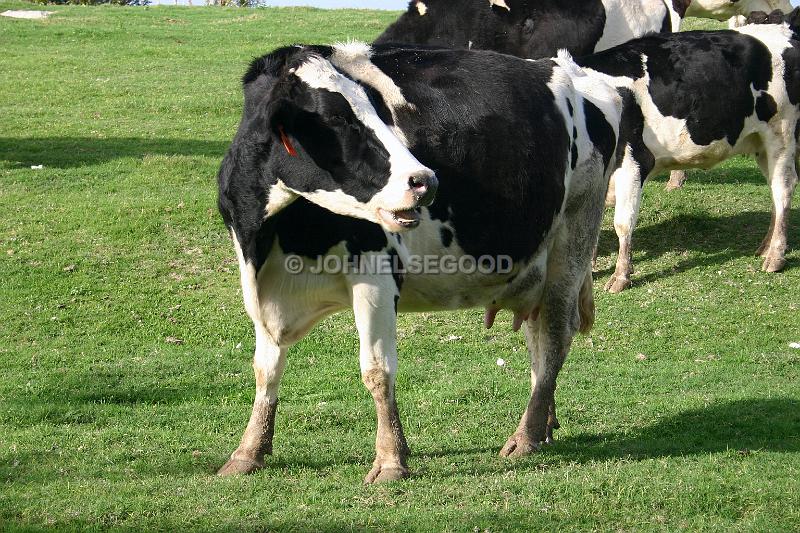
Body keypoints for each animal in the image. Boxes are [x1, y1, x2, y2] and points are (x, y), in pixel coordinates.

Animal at [216, 42, 620, 482]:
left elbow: (376, 370)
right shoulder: (259, 286)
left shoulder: (375, 273)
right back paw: (543, 422)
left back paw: (526, 436)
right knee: (538, 336)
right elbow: (265, 368)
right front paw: (248, 451)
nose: (425, 180)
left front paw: (391, 459)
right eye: (336, 117)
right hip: (537, 259)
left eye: (373, 108)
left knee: (555, 336)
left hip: (574, 237)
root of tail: (571, 68)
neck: (269, 238)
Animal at [576, 22, 800, 290]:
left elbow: (623, 222)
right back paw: (765, 247)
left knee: (783, 188)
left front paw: (621, 276)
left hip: (781, 133)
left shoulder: (633, 161)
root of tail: (786, 30)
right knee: (775, 191)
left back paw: (775, 256)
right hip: (761, 143)